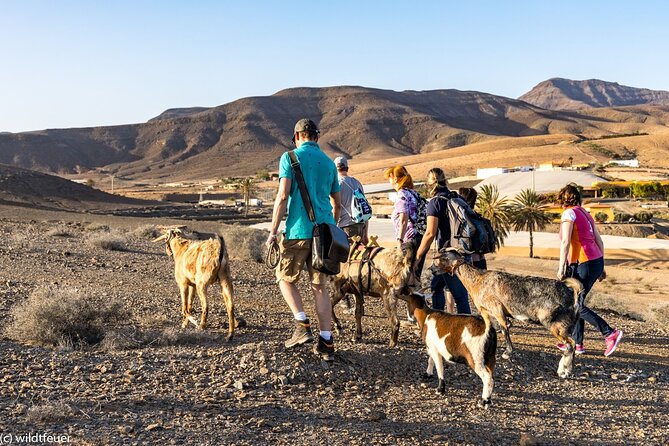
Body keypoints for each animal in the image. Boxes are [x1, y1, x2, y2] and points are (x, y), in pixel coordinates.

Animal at [434, 249, 580, 378]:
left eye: (443, 258)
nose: (432, 270)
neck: (477, 279)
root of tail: (572, 296)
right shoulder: (485, 311)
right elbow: (490, 328)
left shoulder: (497, 309)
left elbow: (504, 328)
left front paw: (507, 352)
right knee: (571, 345)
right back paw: (565, 369)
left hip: (555, 324)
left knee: (571, 344)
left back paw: (565, 371)